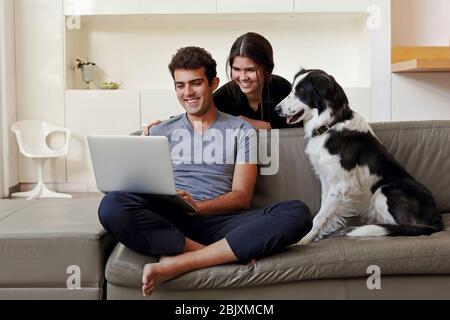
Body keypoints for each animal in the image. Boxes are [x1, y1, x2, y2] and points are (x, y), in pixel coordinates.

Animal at [274, 68, 442, 245]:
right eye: (292, 89)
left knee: (405, 227)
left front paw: (303, 240)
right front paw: (317, 235)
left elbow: (319, 217)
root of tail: (436, 221)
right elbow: (324, 210)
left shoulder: (342, 185)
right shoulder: (327, 180)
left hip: (383, 191)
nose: (276, 109)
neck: (331, 124)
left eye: (301, 91)